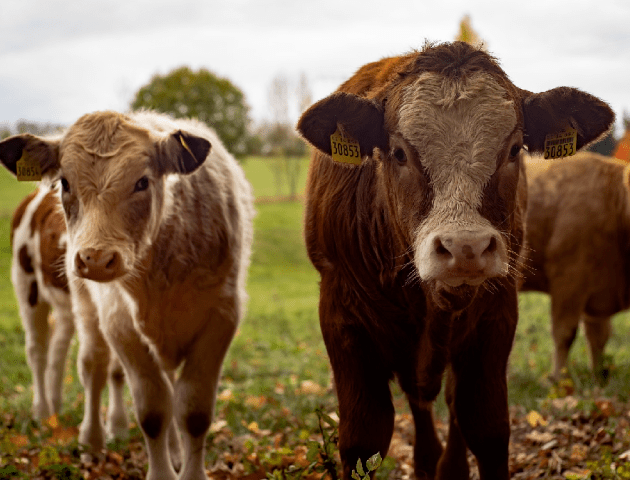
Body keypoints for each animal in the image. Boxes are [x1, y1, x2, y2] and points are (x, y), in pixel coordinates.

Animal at [1, 109, 256, 480]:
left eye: (142, 182)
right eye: (65, 183)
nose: (95, 258)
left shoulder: (221, 316)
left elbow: (192, 411)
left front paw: (182, 463)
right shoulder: (119, 322)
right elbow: (153, 409)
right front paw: (161, 471)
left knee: (67, 353)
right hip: (36, 290)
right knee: (65, 358)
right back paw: (66, 424)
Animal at [298, 42, 616, 480]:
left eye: (513, 150)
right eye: (399, 153)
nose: (466, 247)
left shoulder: (496, 315)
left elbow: (486, 426)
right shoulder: (341, 315)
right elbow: (363, 437)